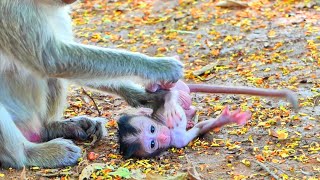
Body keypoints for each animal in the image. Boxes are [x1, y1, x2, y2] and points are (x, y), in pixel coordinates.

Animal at [0, 0, 182, 169]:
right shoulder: (11, 8)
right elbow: (54, 60)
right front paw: (158, 67)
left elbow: (60, 63)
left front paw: (138, 95)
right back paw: (30, 153)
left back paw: (54, 127)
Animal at [117, 80, 298, 158]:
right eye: (152, 144)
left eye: (152, 129)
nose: (162, 136)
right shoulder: (177, 140)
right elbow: (200, 129)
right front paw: (227, 119)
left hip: (178, 88)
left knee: (164, 92)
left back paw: (162, 87)